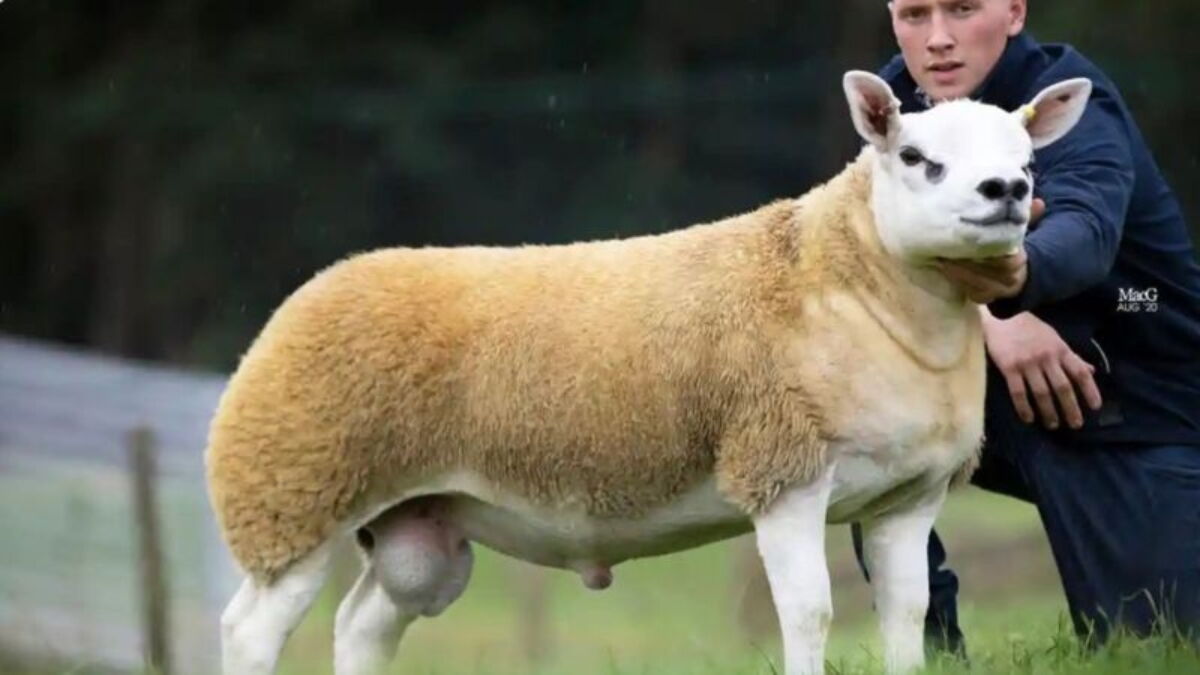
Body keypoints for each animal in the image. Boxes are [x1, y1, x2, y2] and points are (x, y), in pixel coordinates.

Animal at [206, 70, 1092, 675]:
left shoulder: (911, 495)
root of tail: (312, 292)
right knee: (249, 631)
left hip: (414, 525)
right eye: (915, 157)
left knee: (361, 623)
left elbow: (908, 612)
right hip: (293, 493)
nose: (1007, 190)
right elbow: (809, 613)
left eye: (1027, 159)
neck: (854, 283)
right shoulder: (782, 469)